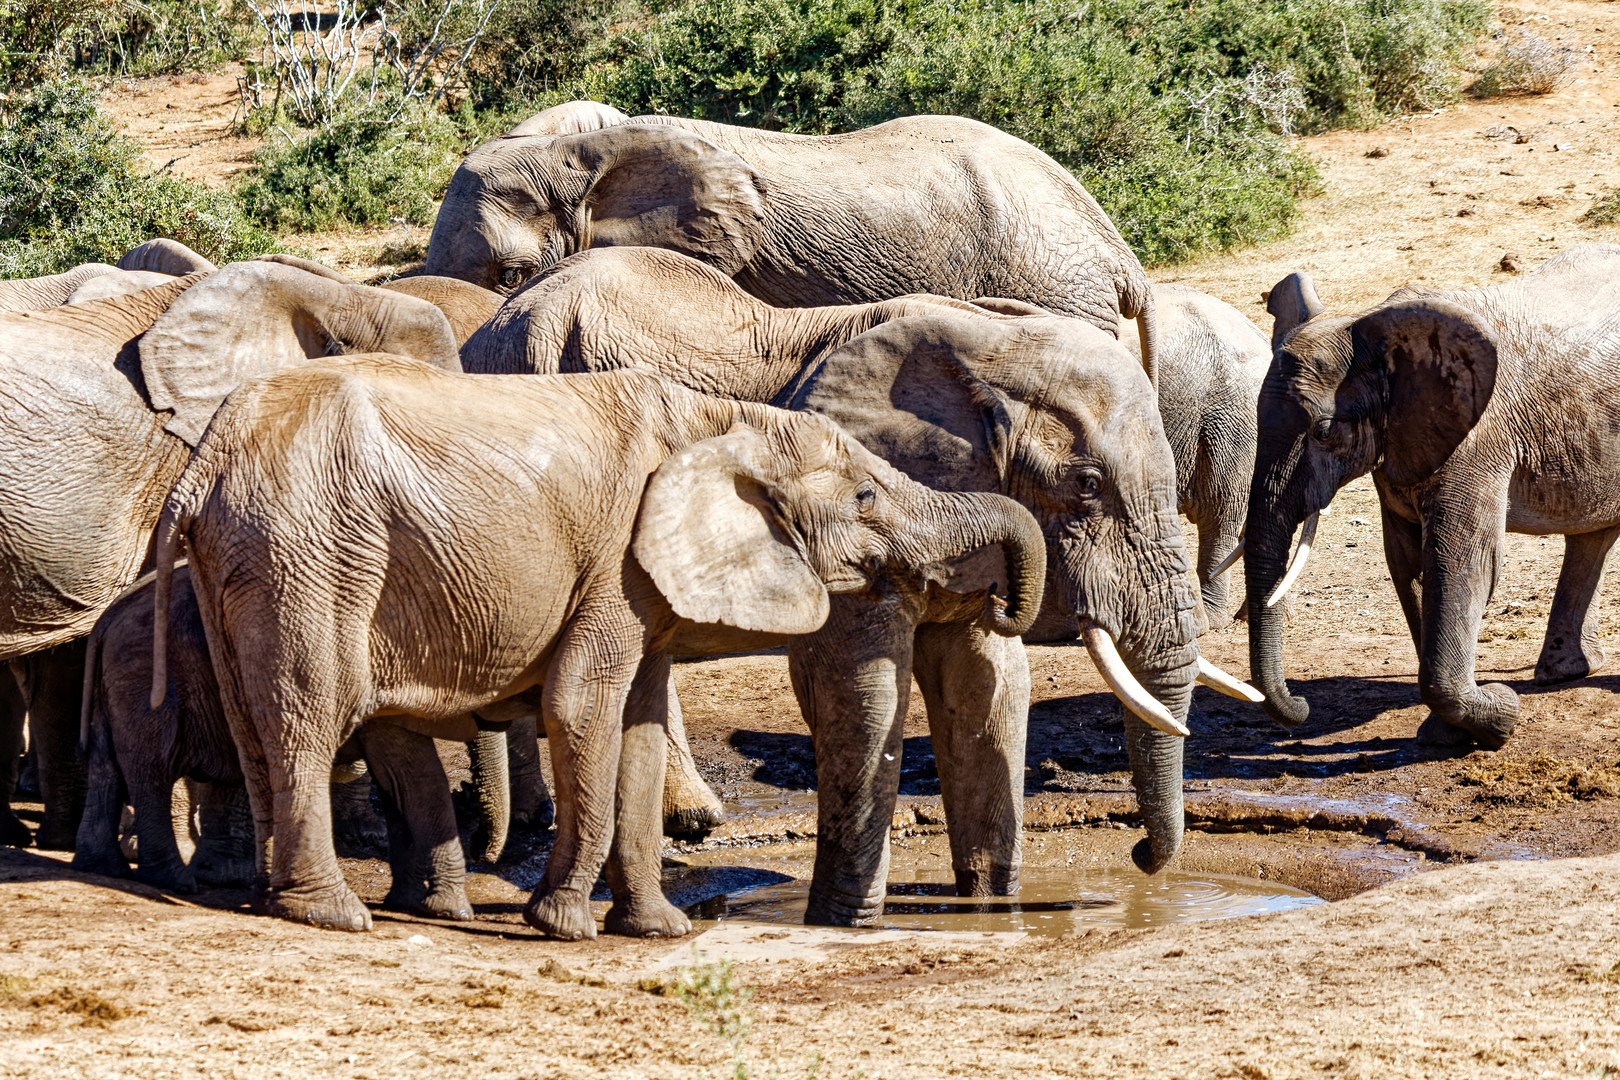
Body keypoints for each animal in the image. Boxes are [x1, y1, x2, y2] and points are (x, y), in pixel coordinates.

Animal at [74, 566, 479, 919]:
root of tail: (105, 621)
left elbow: (397, 780)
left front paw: (407, 902)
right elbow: (410, 774)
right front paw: (447, 910)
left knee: (106, 768)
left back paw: (108, 867)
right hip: (144, 677)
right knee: (152, 770)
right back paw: (175, 881)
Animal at [152, 361, 1036, 939]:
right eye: (865, 496)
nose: (1001, 606)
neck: (720, 419)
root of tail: (201, 466)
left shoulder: (641, 582)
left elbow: (637, 728)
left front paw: (660, 931)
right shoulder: (616, 561)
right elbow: (583, 707)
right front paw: (567, 925)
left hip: (245, 561)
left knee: (255, 728)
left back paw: (272, 898)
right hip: (308, 553)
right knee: (306, 717)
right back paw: (331, 914)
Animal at [1244, 247, 1620, 751]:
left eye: (1323, 431)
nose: (1301, 705)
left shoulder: (1477, 440)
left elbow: (1462, 562)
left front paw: (1498, 717)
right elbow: (1409, 563)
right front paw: (1454, 734)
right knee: (1593, 535)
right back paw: (1566, 672)